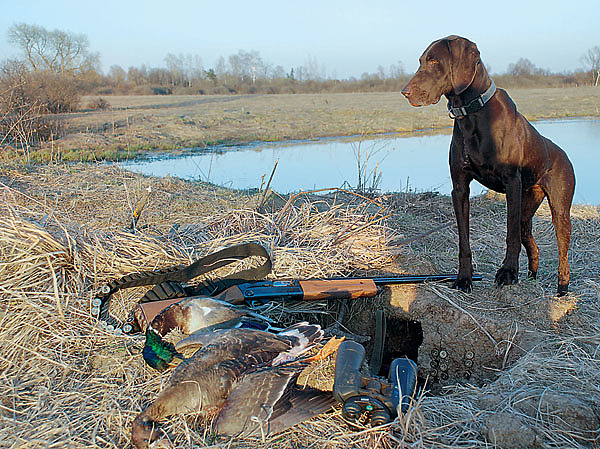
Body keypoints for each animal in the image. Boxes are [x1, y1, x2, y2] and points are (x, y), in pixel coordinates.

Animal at [400, 35, 576, 294]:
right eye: (421, 61)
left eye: (434, 61)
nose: (405, 92)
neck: (471, 113)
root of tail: (563, 154)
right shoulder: (460, 188)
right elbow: (464, 240)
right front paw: (464, 277)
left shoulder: (512, 183)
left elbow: (510, 235)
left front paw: (508, 273)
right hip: (527, 207)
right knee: (530, 240)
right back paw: (532, 276)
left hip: (560, 211)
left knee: (561, 253)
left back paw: (562, 289)